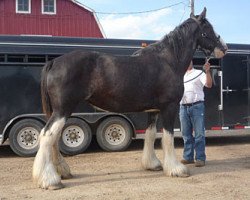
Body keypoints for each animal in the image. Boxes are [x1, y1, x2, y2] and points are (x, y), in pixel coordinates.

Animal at [32, 7, 228, 189]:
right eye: (208, 28)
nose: (224, 48)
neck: (168, 61)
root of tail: (54, 62)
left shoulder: (153, 111)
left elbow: (150, 135)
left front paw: (152, 164)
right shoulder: (169, 108)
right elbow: (168, 137)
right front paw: (175, 169)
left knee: (53, 138)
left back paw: (62, 172)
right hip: (63, 109)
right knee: (47, 135)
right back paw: (49, 180)